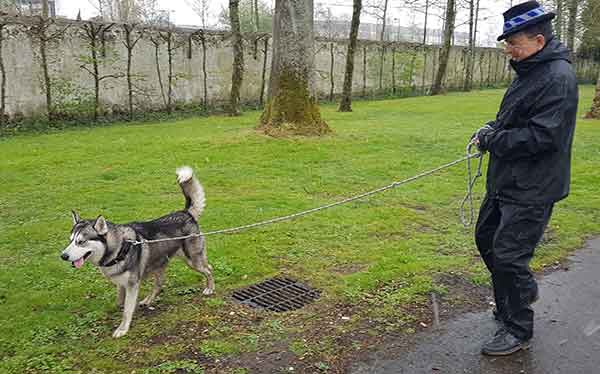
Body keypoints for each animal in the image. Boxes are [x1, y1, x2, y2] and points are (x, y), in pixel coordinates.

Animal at [59, 166, 214, 336]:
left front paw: (122, 329)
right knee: (159, 285)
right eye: (70, 240)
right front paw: (119, 309)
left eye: (81, 242)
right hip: (160, 264)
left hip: (193, 260)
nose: (63, 256)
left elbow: (127, 310)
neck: (120, 248)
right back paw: (148, 300)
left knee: (209, 269)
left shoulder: (132, 285)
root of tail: (186, 213)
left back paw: (209, 288)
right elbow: (120, 301)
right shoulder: (121, 284)